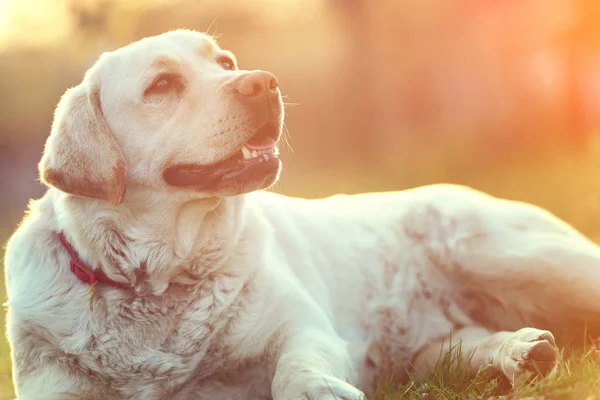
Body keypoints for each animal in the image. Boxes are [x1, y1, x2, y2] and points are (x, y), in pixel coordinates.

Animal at [4, 28, 600, 400]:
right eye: (162, 85)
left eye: (225, 63)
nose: (262, 81)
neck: (161, 281)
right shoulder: (53, 386)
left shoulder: (301, 325)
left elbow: (295, 366)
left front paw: (318, 390)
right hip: (436, 347)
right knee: (472, 344)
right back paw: (522, 353)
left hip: (511, 256)